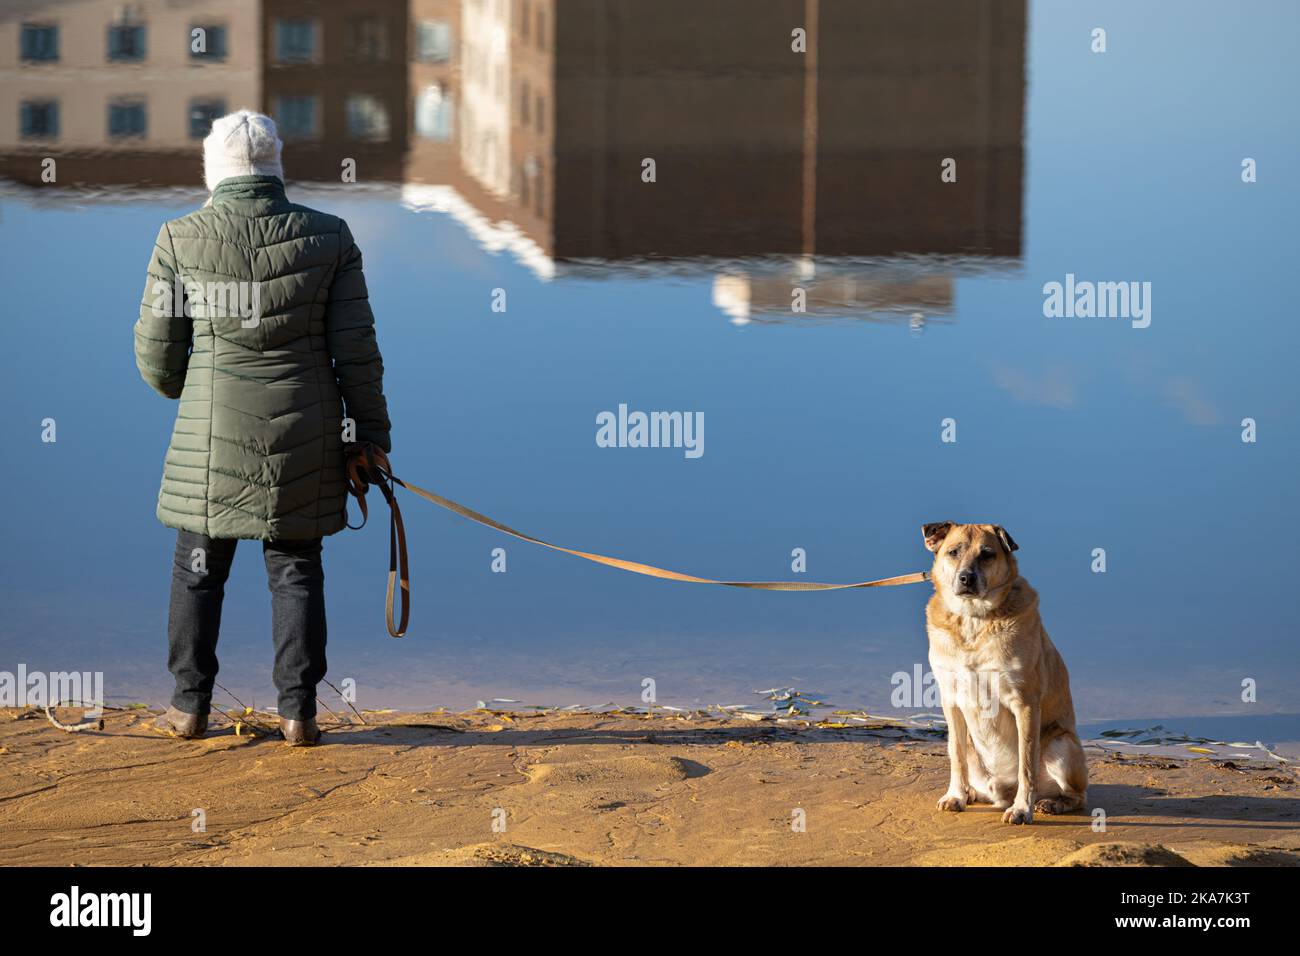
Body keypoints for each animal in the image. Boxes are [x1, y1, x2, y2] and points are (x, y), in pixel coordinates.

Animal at [920, 522, 1092, 822]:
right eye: (953, 552)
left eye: (987, 554)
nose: (966, 578)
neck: (973, 620)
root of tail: (1000, 793)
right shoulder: (950, 700)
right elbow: (956, 756)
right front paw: (955, 795)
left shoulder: (1024, 702)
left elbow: (1026, 764)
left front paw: (1022, 808)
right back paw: (970, 793)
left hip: (1061, 744)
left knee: (1077, 794)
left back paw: (1052, 803)